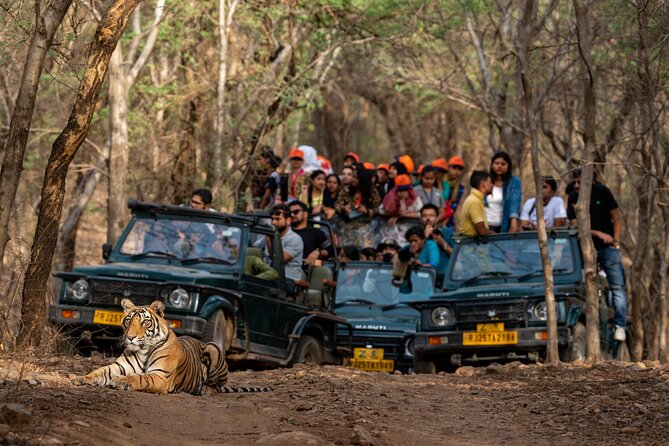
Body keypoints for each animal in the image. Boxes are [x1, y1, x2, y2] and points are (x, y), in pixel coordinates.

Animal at [72, 299, 271, 395]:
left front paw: (122, 381)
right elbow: (99, 372)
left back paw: (204, 390)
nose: (130, 337)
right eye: (128, 321)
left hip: (213, 348)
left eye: (144, 322)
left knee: (218, 386)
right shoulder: (118, 366)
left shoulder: (161, 376)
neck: (143, 349)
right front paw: (80, 378)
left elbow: (140, 377)